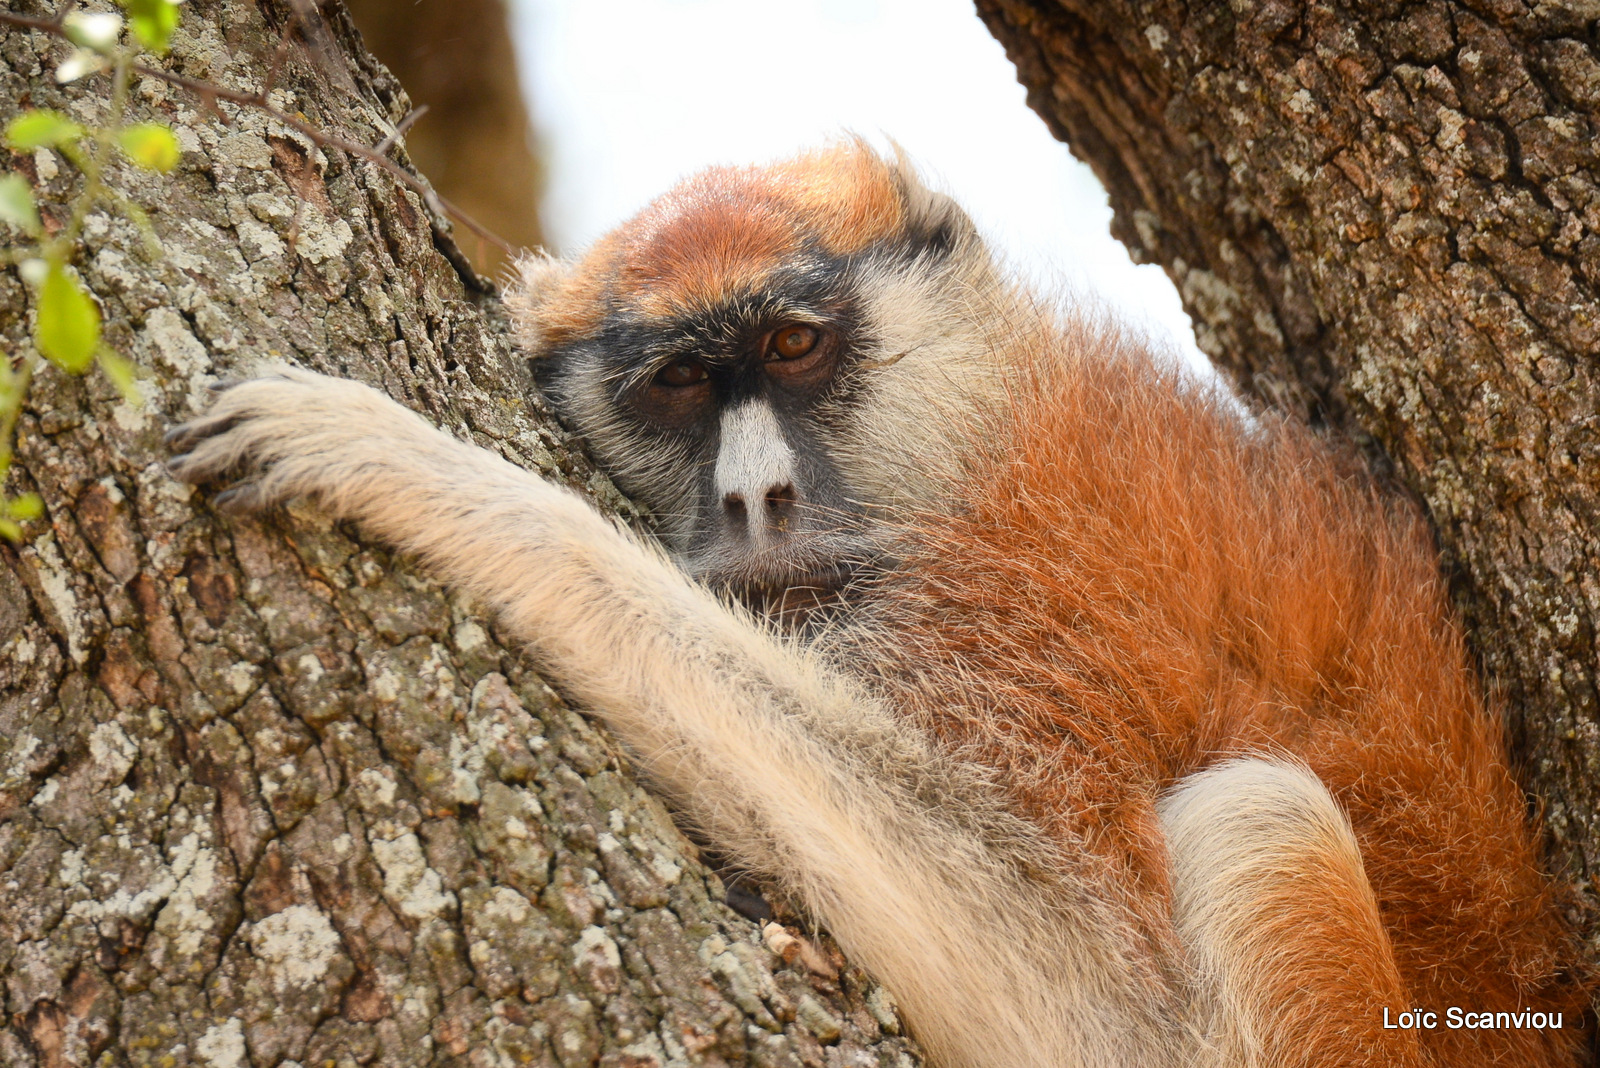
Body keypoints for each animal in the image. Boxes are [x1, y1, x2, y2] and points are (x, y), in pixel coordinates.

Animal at [165, 143, 1587, 1068]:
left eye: (794, 346)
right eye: (680, 383)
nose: (757, 495)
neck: (968, 432)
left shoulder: (1014, 606)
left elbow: (1091, 1002)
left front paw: (400, 460)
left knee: (1265, 815)